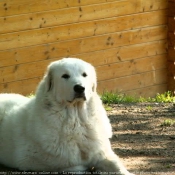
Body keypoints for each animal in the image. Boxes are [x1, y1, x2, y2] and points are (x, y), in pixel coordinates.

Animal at [0, 58, 133, 174]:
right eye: (65, 76)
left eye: (84, 75)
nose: (80, 88)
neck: (76, 119)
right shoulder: (32, 160)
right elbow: (73, 166)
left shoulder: (102, 152)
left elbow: (117, 166)